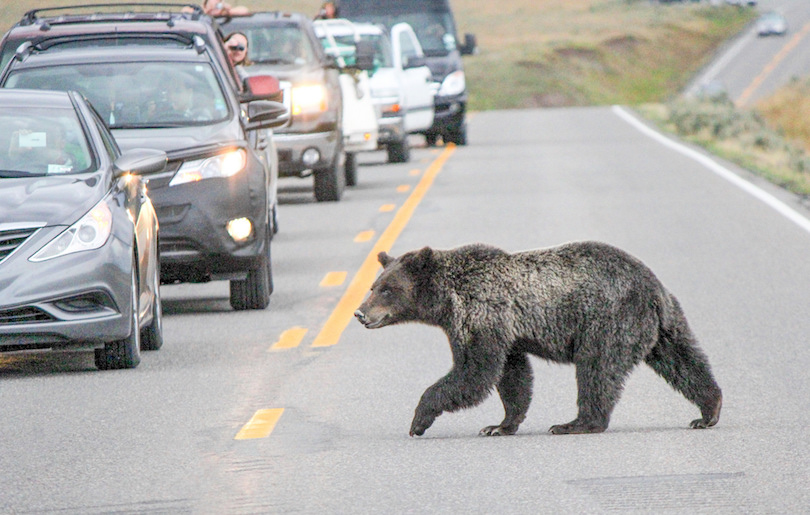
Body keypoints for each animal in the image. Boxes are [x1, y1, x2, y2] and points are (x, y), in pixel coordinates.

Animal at [354, 244, 720, 438]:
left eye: (387, 289)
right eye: (374, 286)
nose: (359, 312)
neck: (445, 302)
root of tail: (652, 287)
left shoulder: (480, 315)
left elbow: (474, 373)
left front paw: (419, 420)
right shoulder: (506, 333)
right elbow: (512, 376)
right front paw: (500, 425)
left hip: (607, 320)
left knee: (596, 370)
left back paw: (575, 423)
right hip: (663, 326)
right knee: (684, 361)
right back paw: (707, 411)